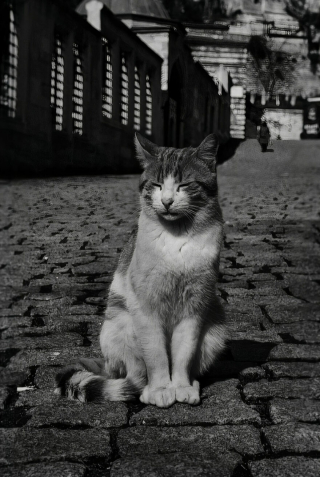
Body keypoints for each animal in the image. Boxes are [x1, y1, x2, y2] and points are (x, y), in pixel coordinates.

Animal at [56, 132, 228, 408]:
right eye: (157, 185)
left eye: (184, 185)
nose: (167, 201)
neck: (177, 239)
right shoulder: (146, 307)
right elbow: (156, 355)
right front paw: (160, 390)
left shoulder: (195, 306)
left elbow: (184, 353)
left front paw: (181, 387)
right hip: (121, 325)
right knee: (134, 373)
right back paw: (144, 389)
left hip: (216, 326)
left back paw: (191, 384)